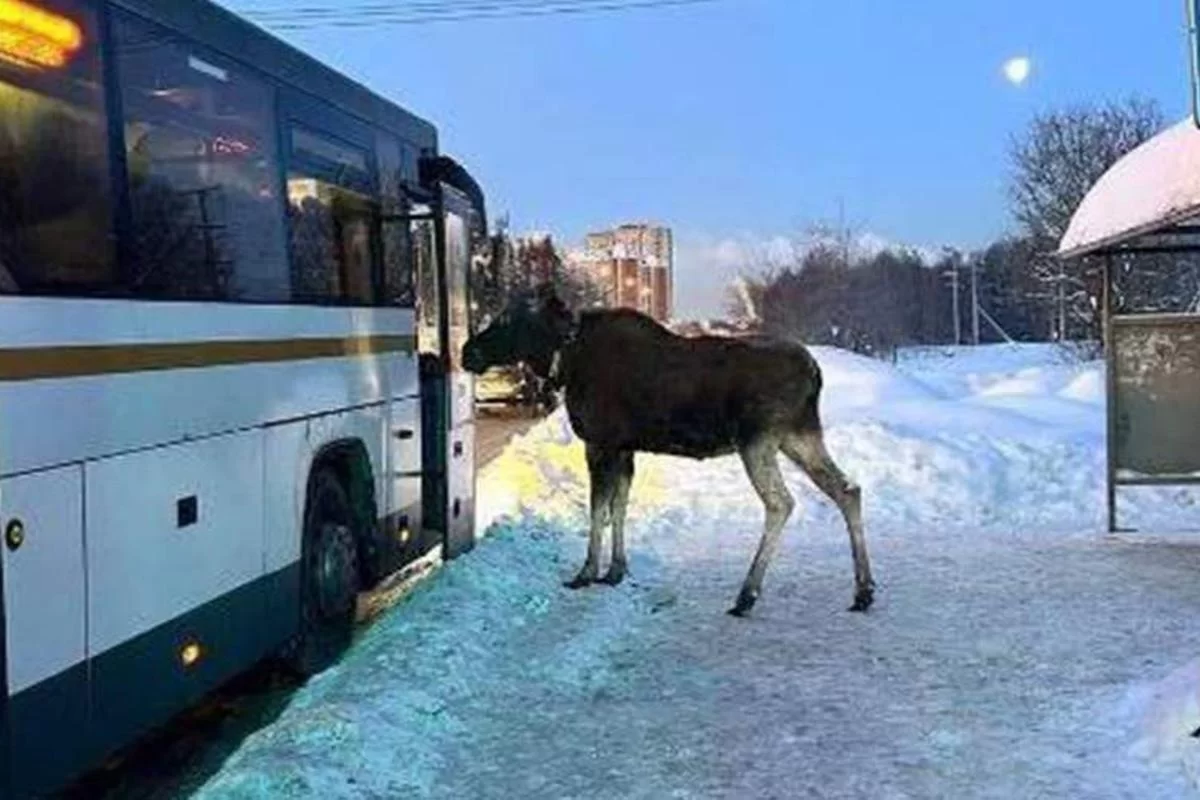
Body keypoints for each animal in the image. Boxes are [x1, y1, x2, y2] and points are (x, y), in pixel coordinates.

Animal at [461, 288, 874, 617]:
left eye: (508, 319)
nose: (468, 351)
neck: (566, 361)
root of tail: (815, 373)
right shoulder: (625, 449)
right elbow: (619, 506)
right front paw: (616, 571)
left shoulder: (600, 442)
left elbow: (598, 510)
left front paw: (586, 573)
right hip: (798, 435)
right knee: (848, 489)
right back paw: (863, 590)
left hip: (758, 439)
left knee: (781, 503)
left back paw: (746, 595)